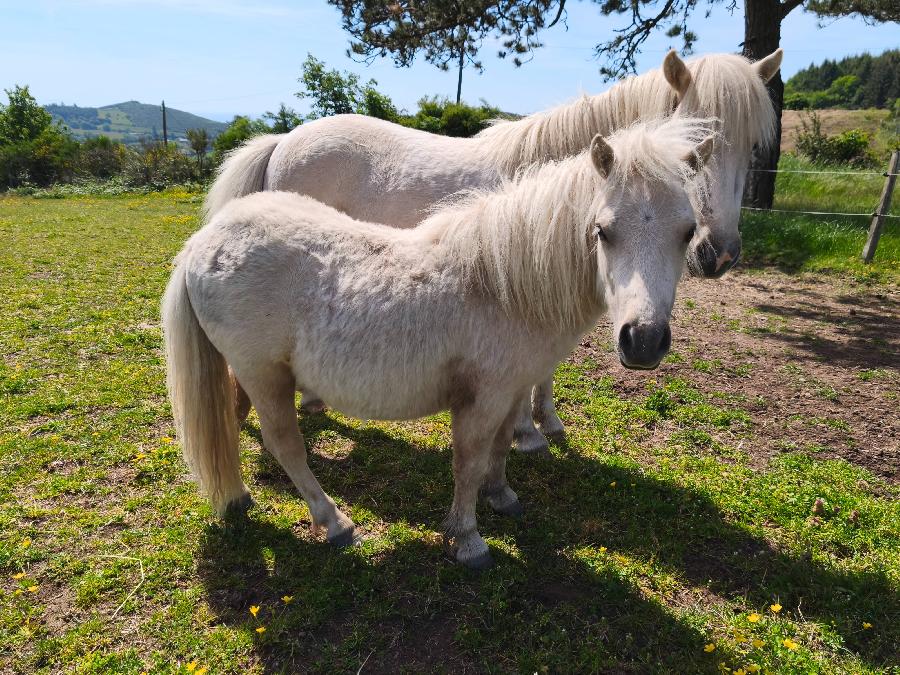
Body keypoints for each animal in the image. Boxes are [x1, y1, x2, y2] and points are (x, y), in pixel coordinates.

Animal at [163, 117, 715, 569]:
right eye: (603, 231)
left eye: (688, 231)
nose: (642, 341)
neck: (501, 285)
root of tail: (204, 242)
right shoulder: (480, 398)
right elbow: (467, 462)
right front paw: (468, 540)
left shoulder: (510, 392)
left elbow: (500, 449)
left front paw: (502, 496)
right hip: (264, 375)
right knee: (285, 444)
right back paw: (334, 523)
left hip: (247, 372)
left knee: (231, 418)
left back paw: (235, 498)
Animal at [205, 49, 782, 452]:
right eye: (696, 138)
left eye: (753, 145)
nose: (720, 253)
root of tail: (284, 140)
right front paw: (528, 432)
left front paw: (546, 421)